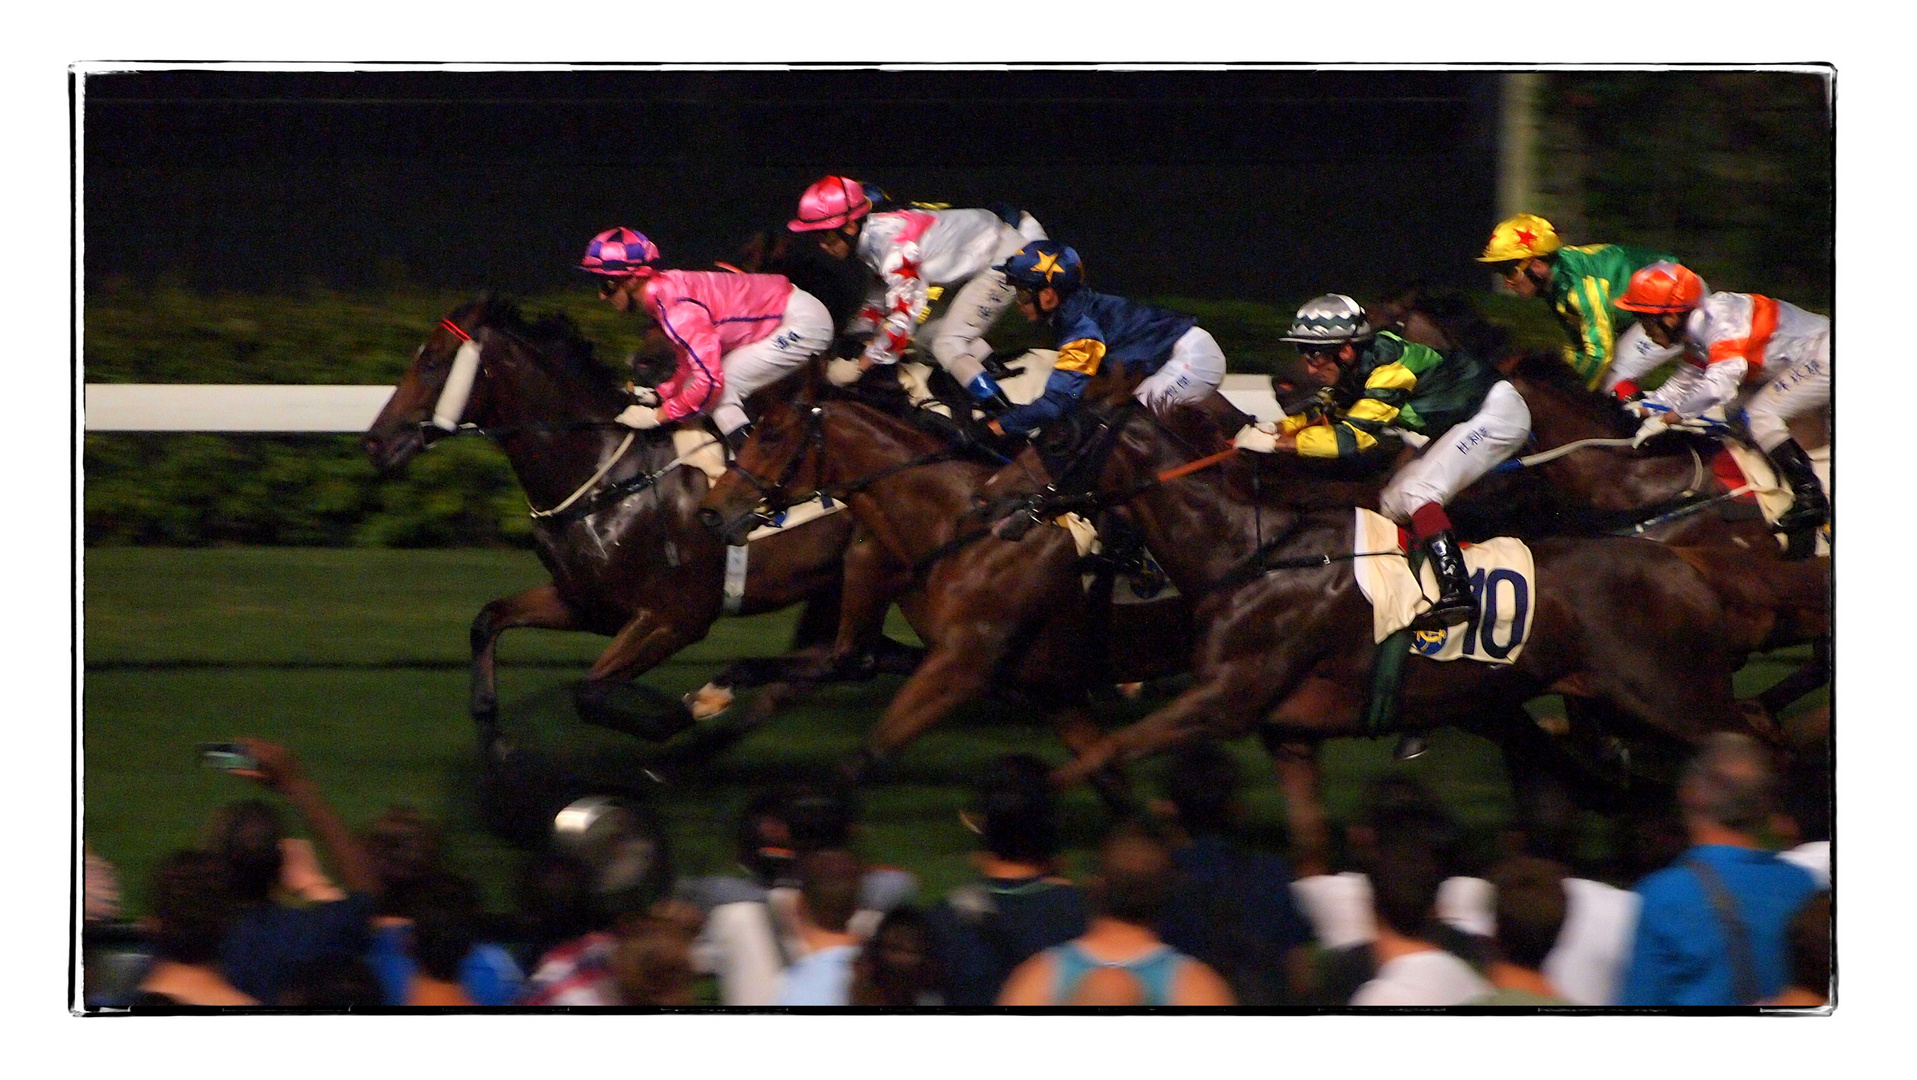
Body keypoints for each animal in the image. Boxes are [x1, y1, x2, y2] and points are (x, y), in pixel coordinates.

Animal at [366, 295, 920, 751]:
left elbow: (592, 692)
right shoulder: (587, 602)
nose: (375, 441)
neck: (604, 476)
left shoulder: (675, 617)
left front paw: (696, 711)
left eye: (432, 362)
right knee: (869, 657)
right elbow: (488, 620)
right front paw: (490, 731)